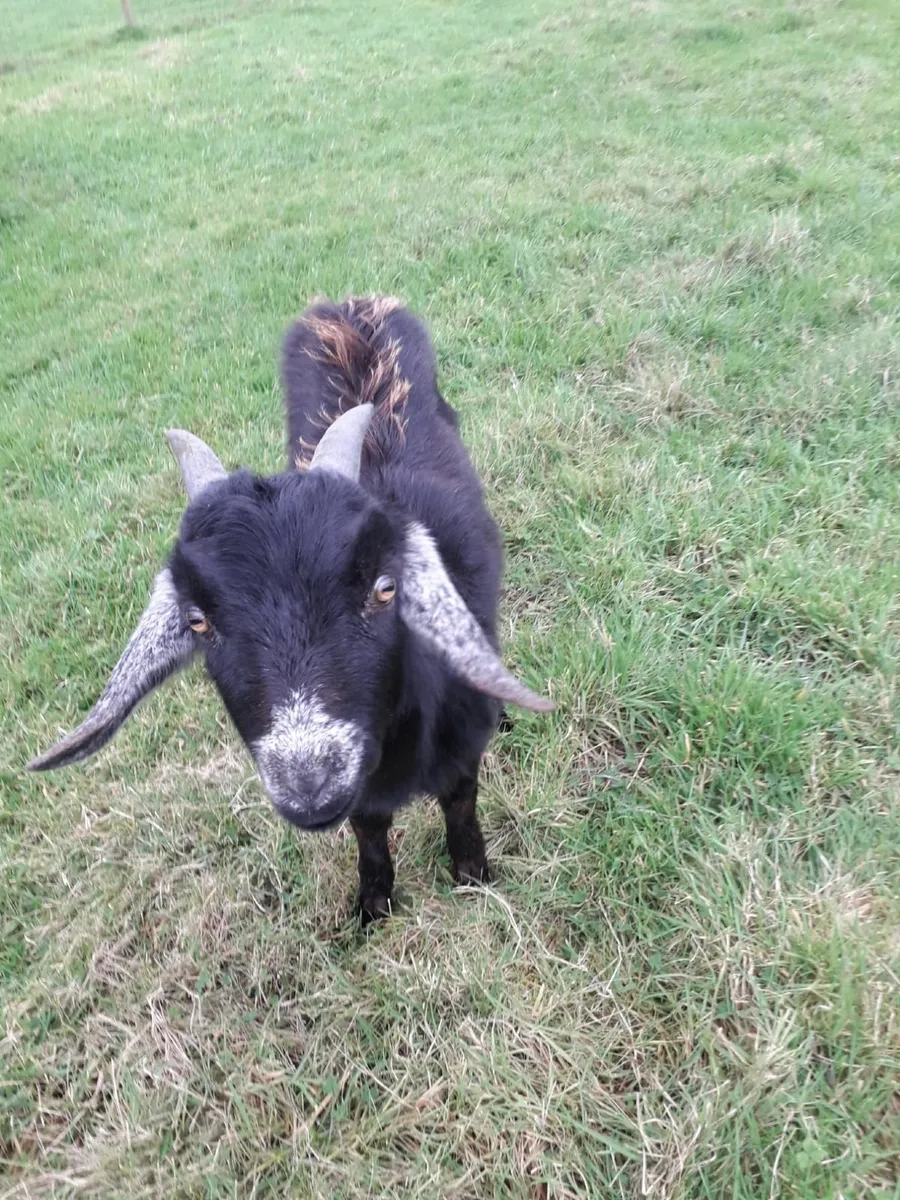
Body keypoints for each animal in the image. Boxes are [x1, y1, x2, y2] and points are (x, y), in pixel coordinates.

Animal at [29, 296, 553, 921]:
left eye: (385, 588)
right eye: (198, 621)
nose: (309, 787)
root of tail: (351, 303)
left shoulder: (458, 746)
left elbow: (460, 802)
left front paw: (473, 876)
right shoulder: (362, 791)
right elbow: (369, 830)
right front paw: (373, 904)